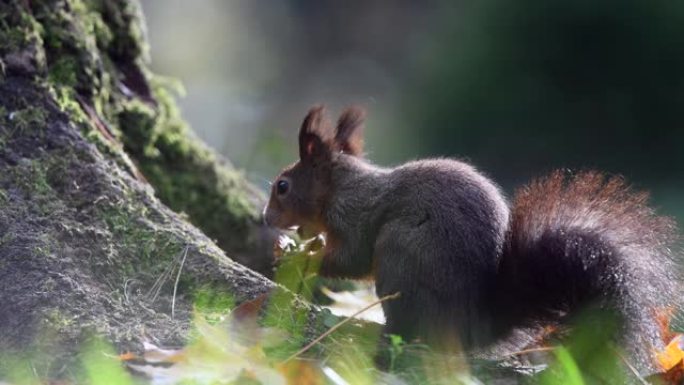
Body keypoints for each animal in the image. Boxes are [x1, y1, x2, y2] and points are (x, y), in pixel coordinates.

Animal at [262, 106, 680, 370]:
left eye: (282, 186)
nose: (265, 218)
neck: (341, 185)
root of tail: (472, 326)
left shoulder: (355, 216)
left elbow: (353, 259)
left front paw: (299, 255)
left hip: (401, 254)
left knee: (413, 333)